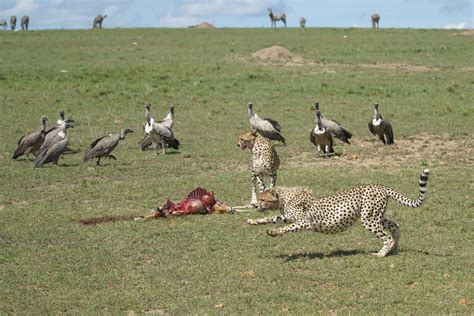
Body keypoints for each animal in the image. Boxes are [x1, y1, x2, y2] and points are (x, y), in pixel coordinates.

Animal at [248, 168, 430, 256]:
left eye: (263, 199)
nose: (256, 206)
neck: (285, 197)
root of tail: (380, 186)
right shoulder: (287, 217)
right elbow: (272, 218)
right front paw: (253, 221)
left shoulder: (304, 222)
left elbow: (285, 227)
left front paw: (273, 232)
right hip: (376, 216)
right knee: (395, 226)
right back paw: (394, 247)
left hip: (369, 219)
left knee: (386, 236)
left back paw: (381, 254)